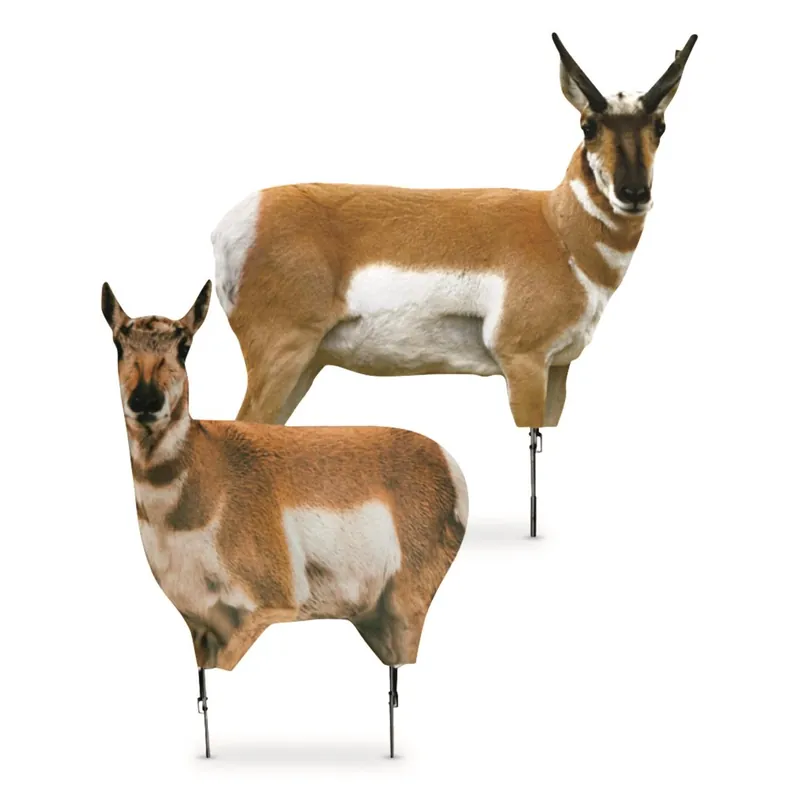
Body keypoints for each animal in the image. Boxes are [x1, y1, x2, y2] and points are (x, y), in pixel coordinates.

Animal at [101, 281, 468, 759]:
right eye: (117, 343)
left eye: (184, 345)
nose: (145, 401)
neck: (208, 467)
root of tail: (445, 460)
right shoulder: (200, 623)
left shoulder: (267, 606)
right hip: (376, 617)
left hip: (406, 606)